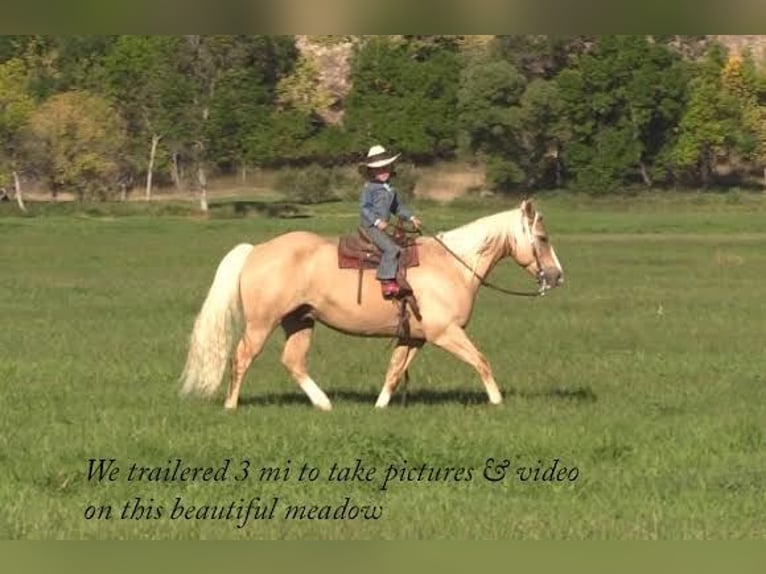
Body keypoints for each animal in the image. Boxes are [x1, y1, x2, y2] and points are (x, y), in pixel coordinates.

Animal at [180, 200, 564, 412]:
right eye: (542, 238)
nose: (557, 276)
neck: (453, 265)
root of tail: (255, 250)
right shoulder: (445, 333)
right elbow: (481, 361)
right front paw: (497, 401)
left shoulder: (414, 337)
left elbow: (394, 372)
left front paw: (380, 407)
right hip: (262, 324)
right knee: (241, 358)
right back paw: (231, 406)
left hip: (299, 321)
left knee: (293, 362)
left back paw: (324, 404)